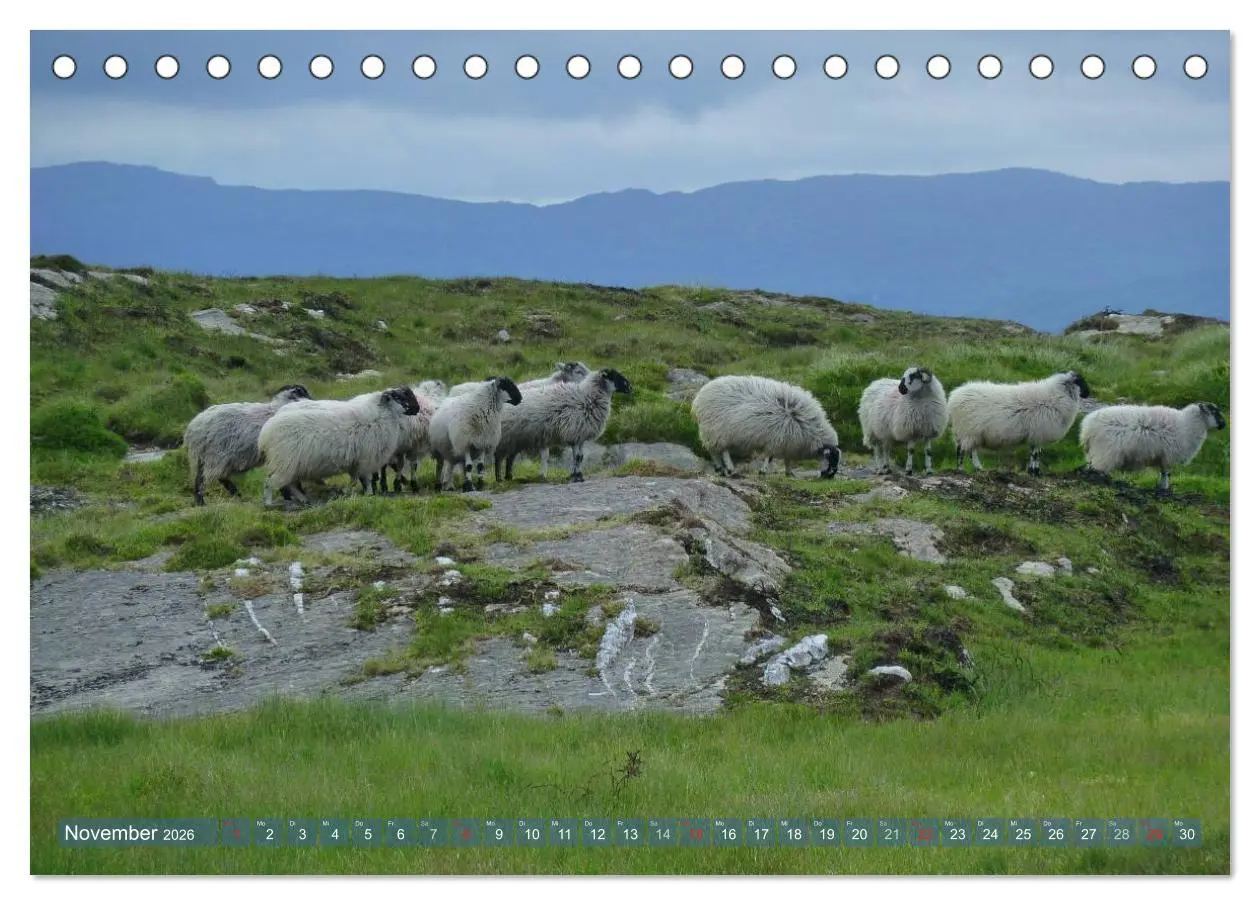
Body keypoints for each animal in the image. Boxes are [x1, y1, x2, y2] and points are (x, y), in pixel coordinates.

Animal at [257, 386, 421, 506]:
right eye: (398, 397)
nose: (418, 409)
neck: (381, 415)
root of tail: (265, 434)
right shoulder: (366, 459)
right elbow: (366, 479)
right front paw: (368, 494)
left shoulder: (357, 462)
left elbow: (356, 479)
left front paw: (350, 491)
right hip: (285, 462)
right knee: (270, 482)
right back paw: (268, 503)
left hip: (292, 465)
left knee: (290, 484)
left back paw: (304, 500)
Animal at [494, 368, 633, 483]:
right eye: (614, 376)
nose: (630, 387)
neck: (587, 396)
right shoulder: (574, 431)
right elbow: (577, 457)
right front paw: (576, 477)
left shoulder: (580, 435)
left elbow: (580, 457)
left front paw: (577, 475)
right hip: (505, 438)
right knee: (499, 457)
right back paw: (499, 479)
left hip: (516, 439)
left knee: (510, 458)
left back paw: (509, 477)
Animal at [690, 375, 841, 479]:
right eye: (830, 460)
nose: (829, 477)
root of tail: (699, 399)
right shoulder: (776, 439)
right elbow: (769, 457)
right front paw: (763, 471)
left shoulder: (788, 443)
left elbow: (787, 459)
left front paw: (789, 472)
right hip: (717, 431)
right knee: (722, 451)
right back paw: (730, 469)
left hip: (713, 433)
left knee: (714, 451)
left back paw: (720, 469)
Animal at [946, 370, 1091, 475]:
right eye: (1081, 381)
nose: (1088, 394)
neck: (1056, 396)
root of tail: (953, 398)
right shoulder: (1039, 432)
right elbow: (1036, 454)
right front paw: (1035, 472)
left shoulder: (1035, 435)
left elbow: (1033, 453)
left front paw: (1032, 471)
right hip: (968, 430)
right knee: (961, 451)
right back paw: (961, 470)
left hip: (970, 433)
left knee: (971, 451)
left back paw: (979, 468)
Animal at [1079, 401, 1226, 494]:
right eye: (1214, 412)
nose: (1224, 425)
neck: (1188, 425)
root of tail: (1088, 427)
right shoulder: (1169, 456)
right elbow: (1166, 473)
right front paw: (1164, 489)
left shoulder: (1164, 456)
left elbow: (1163, 473)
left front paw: (1162, 488)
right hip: (1105, 452)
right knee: (1096, 470)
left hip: (1096, 452)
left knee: (1090, 467)